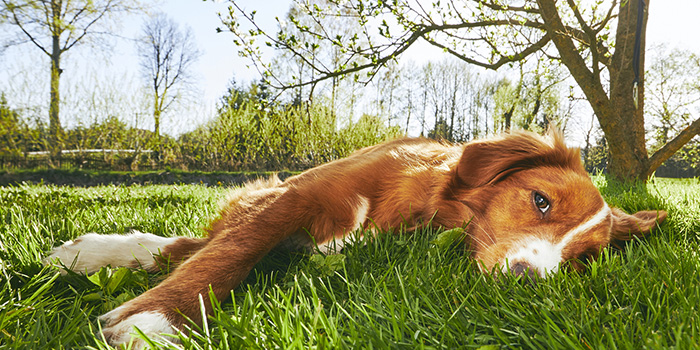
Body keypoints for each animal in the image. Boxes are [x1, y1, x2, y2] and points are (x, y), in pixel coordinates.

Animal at [46, 131, 664, 348]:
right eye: (540, 201)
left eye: (582, 261)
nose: (527, 281)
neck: (419, 201)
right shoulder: (292, 198)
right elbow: (228, 253)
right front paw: (157, 319)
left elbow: (213, 251)